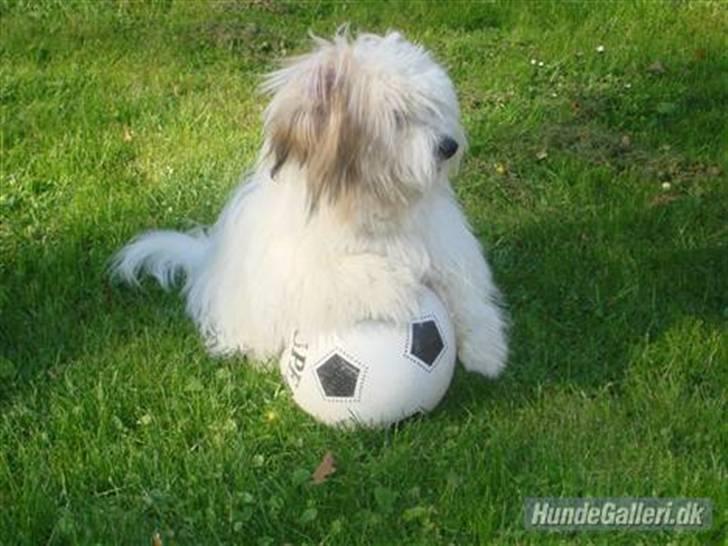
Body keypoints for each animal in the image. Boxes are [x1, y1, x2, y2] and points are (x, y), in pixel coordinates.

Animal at [115, 29, 512, 378]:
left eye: (433, 108)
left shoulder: (446, 248)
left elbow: (465, 294)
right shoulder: (300, 271)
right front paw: (395, 285)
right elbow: (338, 274)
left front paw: (485, 350)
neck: (373, 201)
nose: (449, 146)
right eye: (398, 117)